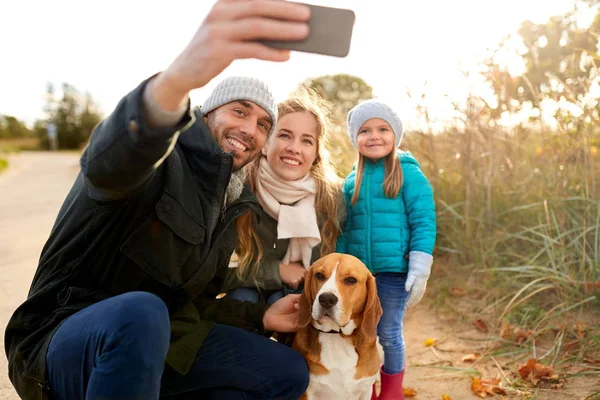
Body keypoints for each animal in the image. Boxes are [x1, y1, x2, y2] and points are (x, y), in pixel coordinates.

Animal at [292, 253, 384, 400]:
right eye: (319, 275)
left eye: (351, 280)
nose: (326, 299)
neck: (336, 335)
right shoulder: (308, 393)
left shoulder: (365, 390)